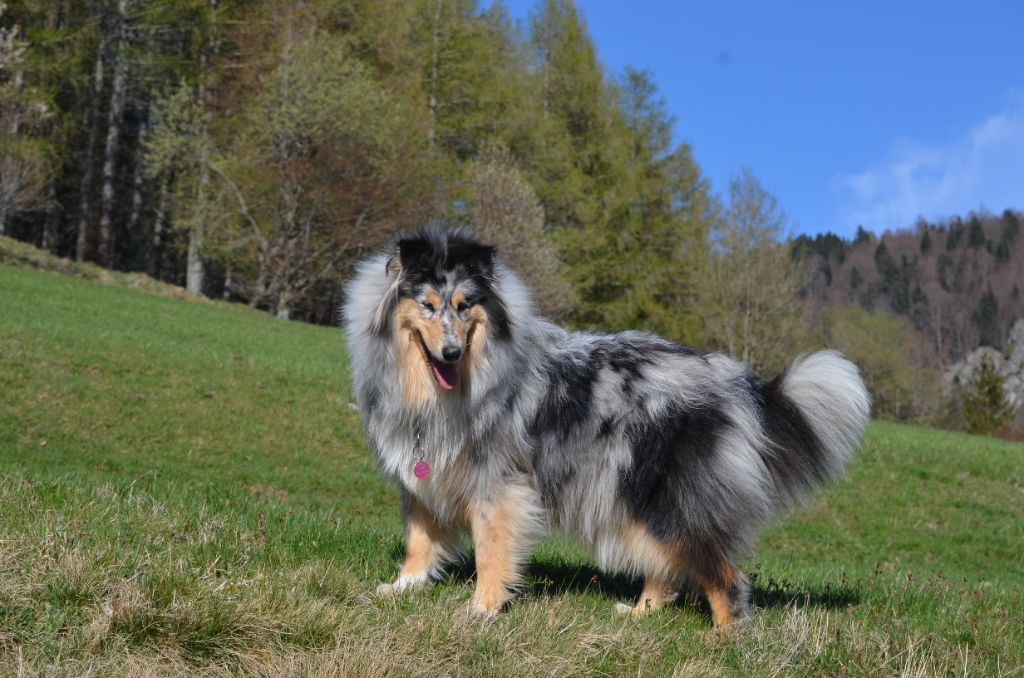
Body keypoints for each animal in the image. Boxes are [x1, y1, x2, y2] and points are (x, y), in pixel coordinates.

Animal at [342, 225, 864, 630]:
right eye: (428, 306)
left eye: (466, 304)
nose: (451, 353)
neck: (440, 388)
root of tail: (738, 382)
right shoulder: (423, 471)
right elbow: (420, 537)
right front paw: (402, 587)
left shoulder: (498, 483)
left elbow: (491, 550)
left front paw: (481, 610)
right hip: (638, 497)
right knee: (667, 567)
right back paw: (639, 614)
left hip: (669, 497)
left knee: (723, 573)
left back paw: (724, 638)